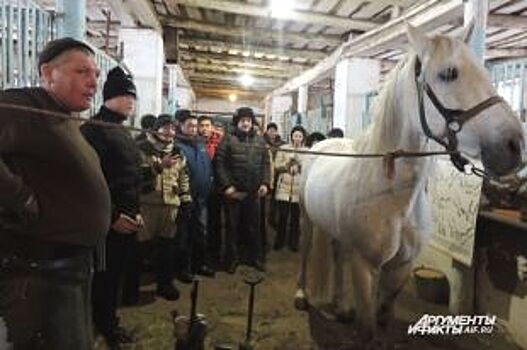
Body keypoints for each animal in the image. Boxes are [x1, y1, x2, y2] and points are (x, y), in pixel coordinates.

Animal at [294, 23, 524, 346]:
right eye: (448, 73)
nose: (514, 145)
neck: (394, 197)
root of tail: (322, 144)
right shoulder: (365, 266)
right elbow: (367, 331)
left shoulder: (400, 268)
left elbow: (383, 319)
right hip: (306, 220)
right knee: (304, 253)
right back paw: (302, 295)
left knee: (338, 258)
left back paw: (341, 307)